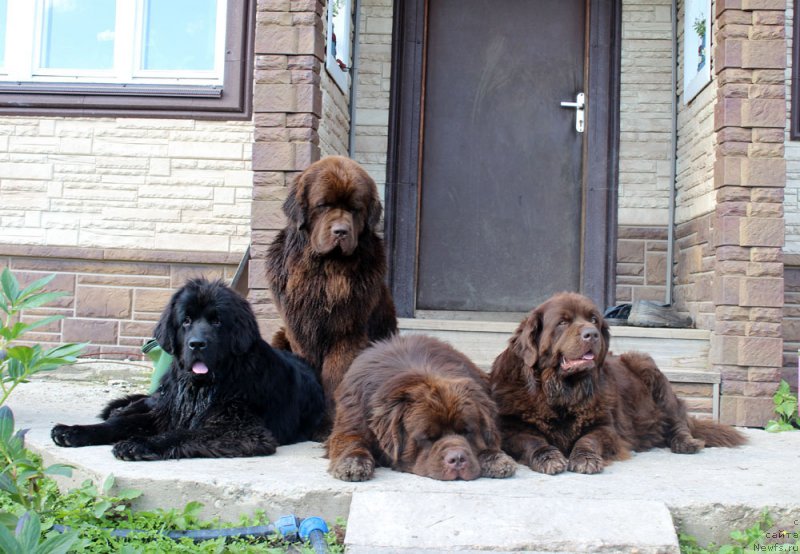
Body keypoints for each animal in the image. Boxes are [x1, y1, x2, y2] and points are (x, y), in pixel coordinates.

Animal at [51, 278, 324, 460]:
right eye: (186, 320)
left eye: (217, 321)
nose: (197, 344)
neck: (200, 388)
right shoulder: (168, 411)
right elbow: (121, 425)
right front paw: (73, 431)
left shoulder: (242, 430)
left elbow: (183, 434)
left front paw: (139, 444)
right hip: (165, 394)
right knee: (146, 401)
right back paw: (121, 409)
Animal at [266, 155, 396, 422]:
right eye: (323, 205)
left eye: (355, 209)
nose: (341, 231)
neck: (325, 272)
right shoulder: (299, 330)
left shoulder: (348, 332)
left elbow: (336, 376)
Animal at [328, 332, 516, 478]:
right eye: (427, 437)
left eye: (467, 432)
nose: (457, 458)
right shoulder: (353, 416)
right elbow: (352, 440)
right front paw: (353, 463)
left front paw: (496, 458)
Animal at [490, 292, 748, 472]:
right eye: (562, 322)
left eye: (594, 319)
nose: (592, 334)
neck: (562, 391)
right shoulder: (512, 428)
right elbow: (533, 441)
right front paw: (549, 458)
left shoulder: (606, 427)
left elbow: (588, 439)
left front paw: (585, 459)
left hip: (648, 369)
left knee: (678, 420)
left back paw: (686, 443)